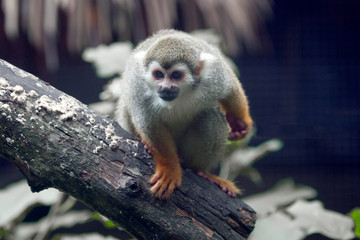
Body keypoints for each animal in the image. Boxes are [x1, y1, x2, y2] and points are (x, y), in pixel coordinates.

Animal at [115, 29, 253, 199]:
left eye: (176, 75)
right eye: (158, 75)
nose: (165, 88)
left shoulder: (213, 76)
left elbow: (230, 88)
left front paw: (240, 122)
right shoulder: (138, 84)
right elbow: (148, 122)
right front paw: (169, 168)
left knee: (208, 116)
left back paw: (200, 171)